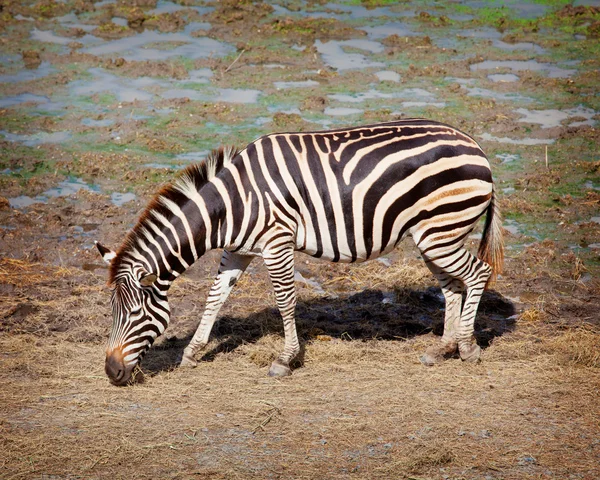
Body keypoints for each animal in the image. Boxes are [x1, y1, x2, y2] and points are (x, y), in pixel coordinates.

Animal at [96, 119, 504, 386]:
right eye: (112, 313)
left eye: (134, 314)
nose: (111, 373)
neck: (229, 206)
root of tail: (477, 147)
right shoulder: (238, 251)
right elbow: (214, 298)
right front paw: (192, 353)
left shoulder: (277, 242)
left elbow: (284, 300)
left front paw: (285, 359)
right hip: (432, 235)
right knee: (452, 287)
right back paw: (442, 349)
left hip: (441, 230)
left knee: (478, 274)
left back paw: (467, 347)